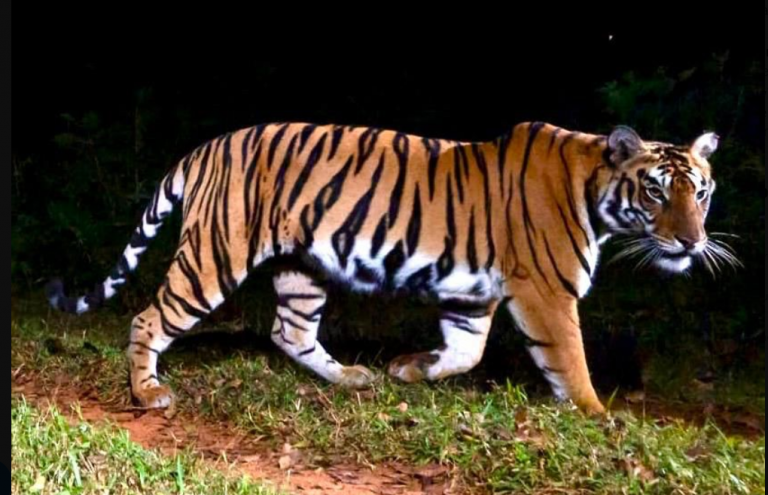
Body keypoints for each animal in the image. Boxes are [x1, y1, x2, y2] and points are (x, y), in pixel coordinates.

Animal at [46, 121, 732, 415]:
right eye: (655, 191)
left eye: (700, 193)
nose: (692, 241)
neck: (595, 187)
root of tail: (204, 147)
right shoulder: (546, 291)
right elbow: (570, 359)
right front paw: (596, 415)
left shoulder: (474, 293)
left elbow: (467, 352)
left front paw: (410, 369)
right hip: (215, 254)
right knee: (147, 319)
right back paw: (148, 392)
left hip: (303, 268)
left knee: (289, 332)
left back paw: (352, 378)